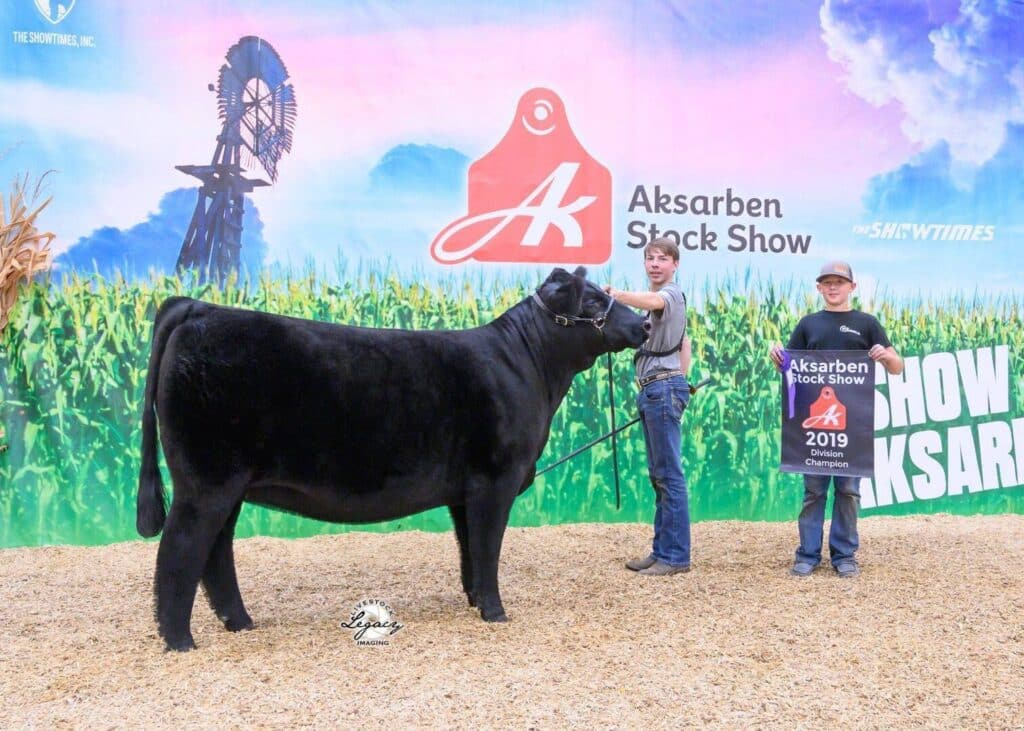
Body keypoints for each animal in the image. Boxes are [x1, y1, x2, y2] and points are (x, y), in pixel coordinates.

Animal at [136, 266, 649, 651]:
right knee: (180, 550)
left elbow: (469, 549)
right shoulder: (494, 480)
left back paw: (239, 622)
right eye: (590, 302)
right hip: (206, 481)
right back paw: (180, 641)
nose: (644, 324)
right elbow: (487, 547)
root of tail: (198, 306)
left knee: (216, 552)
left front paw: (474, 601)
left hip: (228, 485)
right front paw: (496, 612)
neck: (530, 366)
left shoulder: (464, 490)